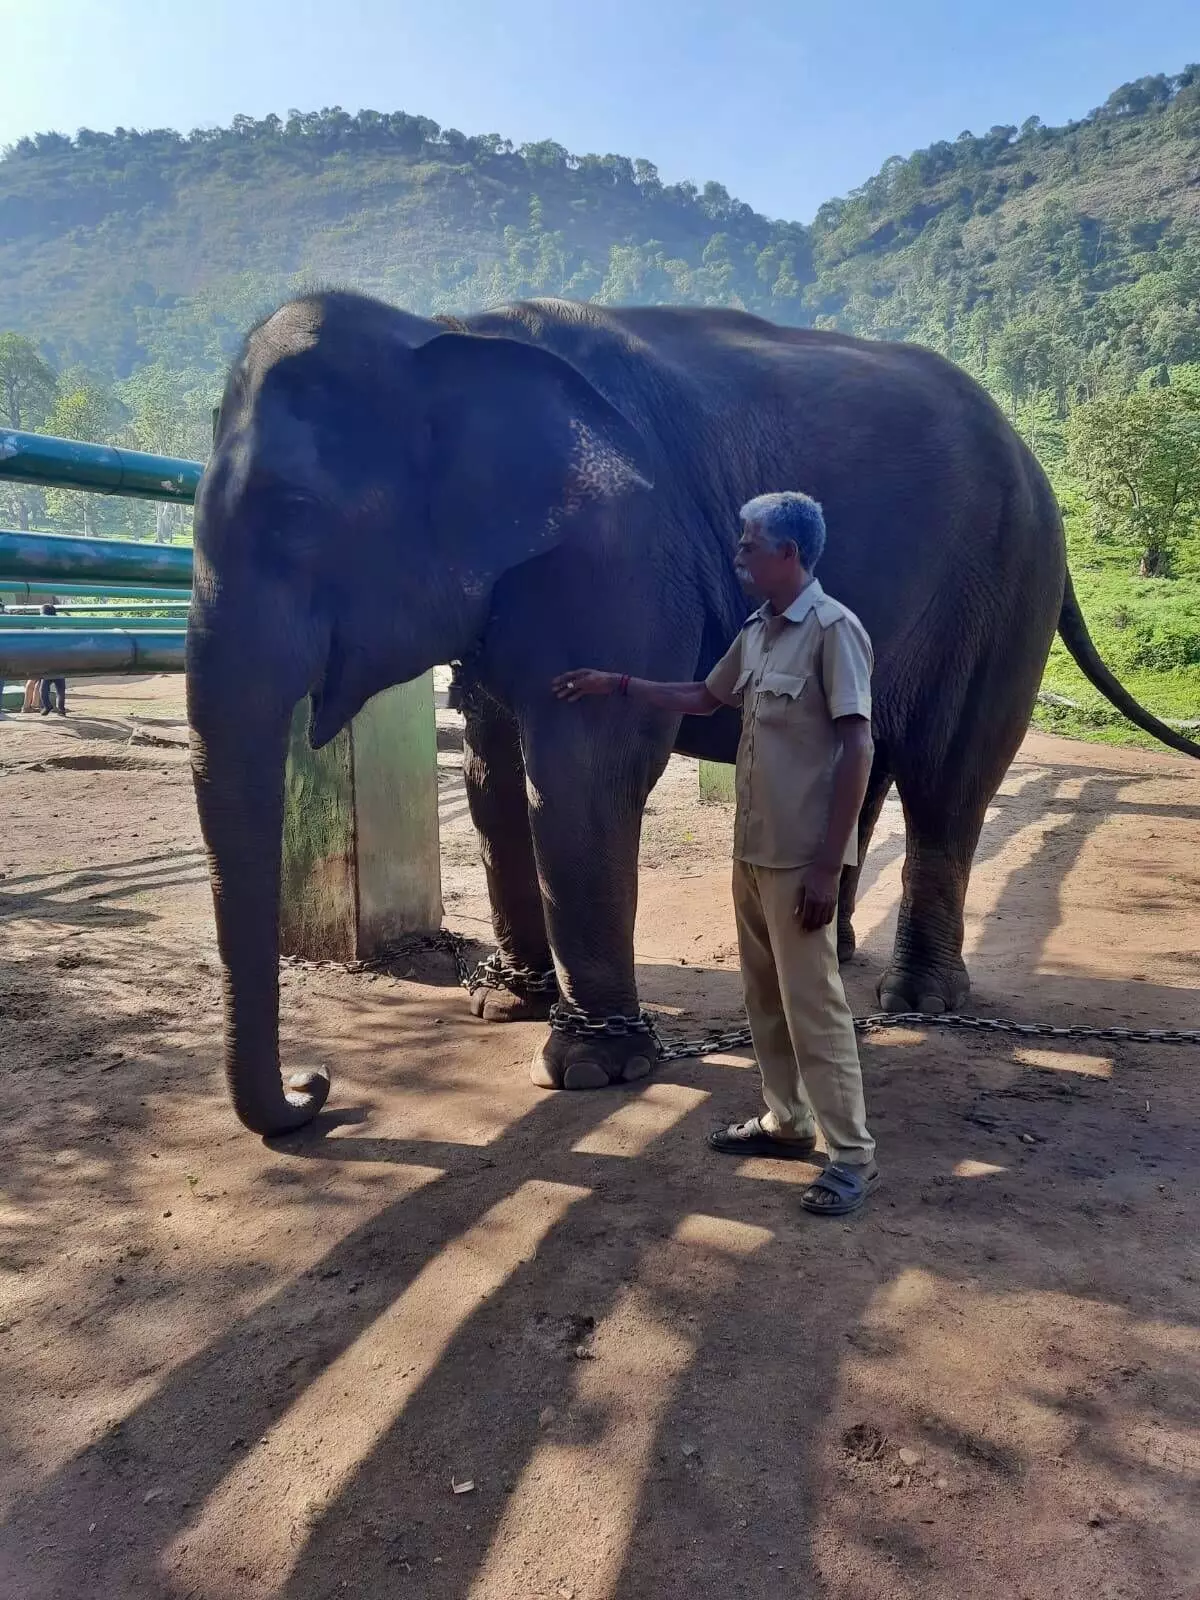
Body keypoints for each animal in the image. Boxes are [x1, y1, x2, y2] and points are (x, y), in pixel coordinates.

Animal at [188, 291, 1200, 1139]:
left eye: (295, 513)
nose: (319, 1088)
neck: (446, 327)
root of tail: (1034, 462)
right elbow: (490, 768)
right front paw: (501, 1004)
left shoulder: (619, 554)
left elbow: (584, 770)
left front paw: (587, 1066)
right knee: (866, 762)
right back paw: (829, 952)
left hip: (1005, 585)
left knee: (948, 774)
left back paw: (918, 1002)